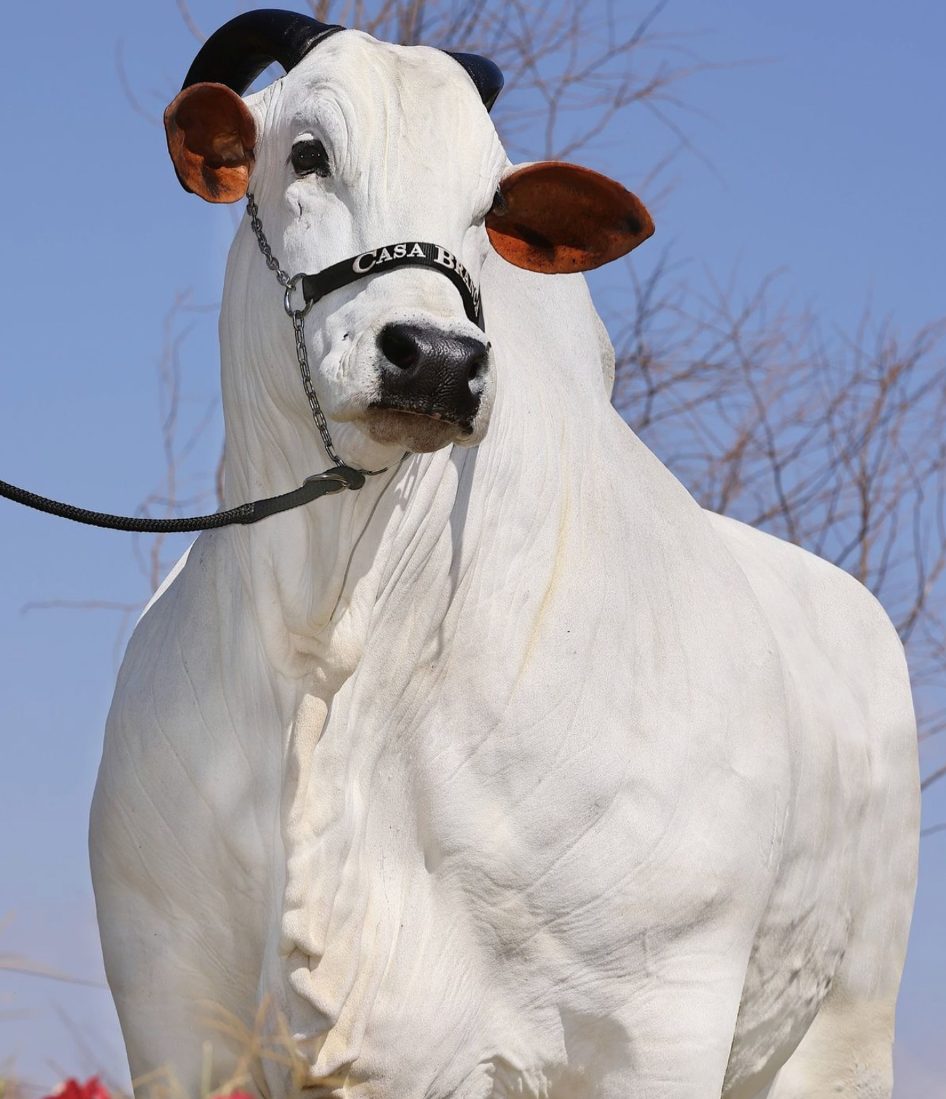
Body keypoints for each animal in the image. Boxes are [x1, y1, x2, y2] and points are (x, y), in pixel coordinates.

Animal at [89, 10, 919, 1099]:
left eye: (489, 205)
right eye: (306, 154)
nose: (438, 358)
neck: (336, 640)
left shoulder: (657, 1018)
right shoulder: (175, 1018)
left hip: (844, 1026)